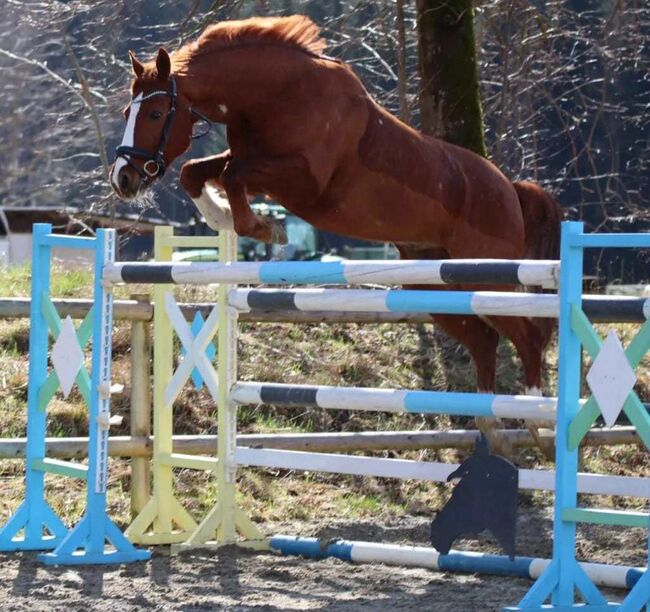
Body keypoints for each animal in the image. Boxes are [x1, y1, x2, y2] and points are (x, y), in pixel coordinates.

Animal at [109, 14, 560, 456]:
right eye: (127, 113)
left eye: (154, 114)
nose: (122, 179)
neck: (276, 94)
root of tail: (511, 191)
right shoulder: (254, 161)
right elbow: (198, 171)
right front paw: (219, 215)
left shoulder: (304, 182)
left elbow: (232, 174)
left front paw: (263, 228)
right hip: (436, 284)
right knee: (485, 340)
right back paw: (494, 427)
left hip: (488, 276)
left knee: (527, 336)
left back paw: (539, 423)